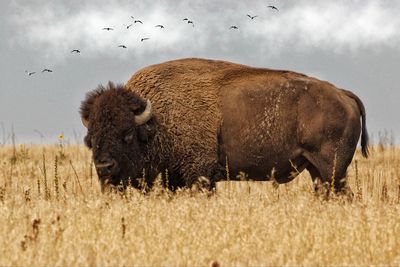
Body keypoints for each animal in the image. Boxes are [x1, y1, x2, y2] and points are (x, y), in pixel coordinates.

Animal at [80, 58, 368, 195]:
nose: (104, 167)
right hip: (316, 170)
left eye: (127, 134)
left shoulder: (200, 174)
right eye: (90, 138)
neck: (156, 122)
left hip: (332, 169)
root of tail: (343, 94)